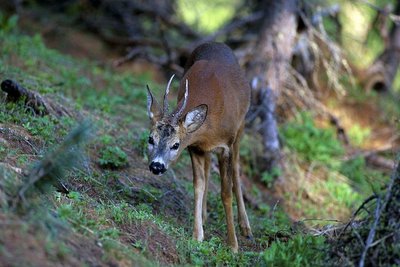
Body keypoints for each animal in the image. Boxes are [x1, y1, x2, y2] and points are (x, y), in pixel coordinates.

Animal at [147, 41, 252, 251]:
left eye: (175, 145)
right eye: (150, 139)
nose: (156, 166)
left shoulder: (226, 146)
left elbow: (225, 193)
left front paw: (233, 245)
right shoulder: (195, 147)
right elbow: (198, 185)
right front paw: (197, 235)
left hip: (240, 129)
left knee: (237, 171)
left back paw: (245, 226)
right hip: (208, 150)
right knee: (208, 168)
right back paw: (204, 215)